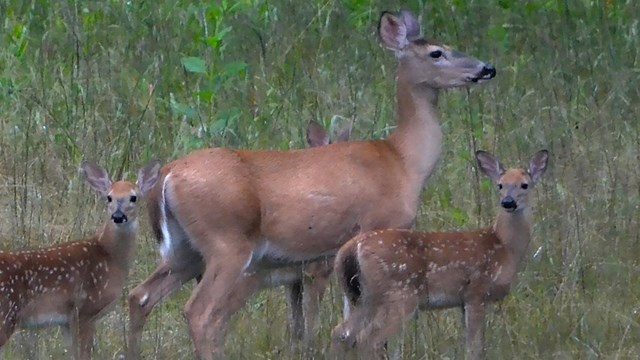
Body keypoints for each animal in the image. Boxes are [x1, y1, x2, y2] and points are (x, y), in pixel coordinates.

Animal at [0, 161, 160, 360]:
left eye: (134, 197)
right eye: (109, 197)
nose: (118, 216)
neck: (109, 256)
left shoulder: (67, 321)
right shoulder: (86, 310)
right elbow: (84, 353)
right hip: (6, 314)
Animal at [125, 9, 496, 358]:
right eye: (437, 53)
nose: (487, 68)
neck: (403, 160)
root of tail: (168, 175)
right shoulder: (378, 226)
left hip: (184, 250)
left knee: (140, 295)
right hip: (227, 242)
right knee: (199, 312)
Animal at [332, 148, 548, 358]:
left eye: (524, 185)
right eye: (500, 185)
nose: (508, 202)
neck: (503, 246)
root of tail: (350, 249)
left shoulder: (462, 301)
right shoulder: (477, 290)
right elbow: (475, 347)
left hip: (360, 296)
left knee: (341, 332)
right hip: (398, 294)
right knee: (368, 340)